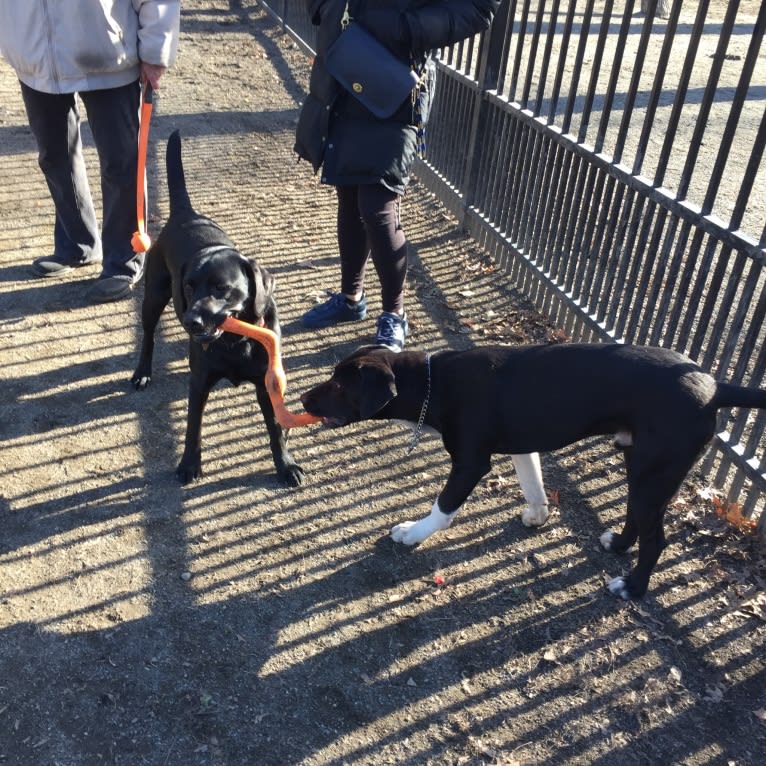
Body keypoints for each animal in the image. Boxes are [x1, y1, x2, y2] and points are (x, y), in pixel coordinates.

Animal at [132, 130, 304, 486]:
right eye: (188, 286)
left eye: (221, 288)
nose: (191, 321)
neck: (236, 342)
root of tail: (185, 214)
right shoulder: (199, 383)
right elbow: (192, 430)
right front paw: (188, 465)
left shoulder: (267, 384)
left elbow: (275, 429)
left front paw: (285, 464)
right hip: (153, 298)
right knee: (149, 336)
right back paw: (142, 372)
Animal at [298, 344, 766, 604]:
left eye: (340, 386)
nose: (301, 398)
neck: (434, 382)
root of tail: (715, 386)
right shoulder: (522, 447)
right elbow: (533, 483)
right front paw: (539, 515)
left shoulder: (470, 463)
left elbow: (443, 508)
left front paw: (413, 533)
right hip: (641, 464)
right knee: (637, 518)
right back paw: (618, 544)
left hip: (655, 473)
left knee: (657, 541)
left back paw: (632, 588)